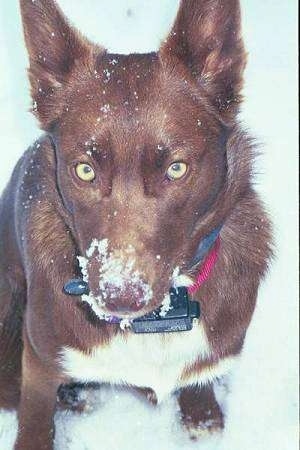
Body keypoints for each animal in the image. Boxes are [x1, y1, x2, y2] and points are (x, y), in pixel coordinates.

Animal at [0, 0, 272, 448]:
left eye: (176, 169)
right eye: (85, 170)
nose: (119, 297)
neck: (155, 320)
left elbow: (198, 386)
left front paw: (202, 417)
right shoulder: (38, 363)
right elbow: (36, 419)